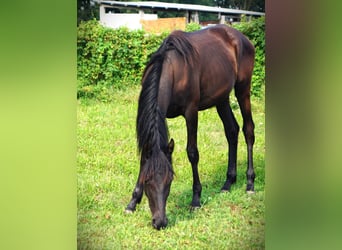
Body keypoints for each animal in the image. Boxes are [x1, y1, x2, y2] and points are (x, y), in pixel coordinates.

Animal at [125, 24, 254, 229]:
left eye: (170, 179)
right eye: (147, 180)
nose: (160, 222)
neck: (173, 69)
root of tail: (241, 37)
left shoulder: (191, 112)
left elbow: (192, 152)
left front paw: (196, 200)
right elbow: (143, 158)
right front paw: (132, 202)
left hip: (243, 90)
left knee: (248, 130)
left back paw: (250, 183)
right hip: (222, 98)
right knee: (232, 131)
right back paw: (228, 182)